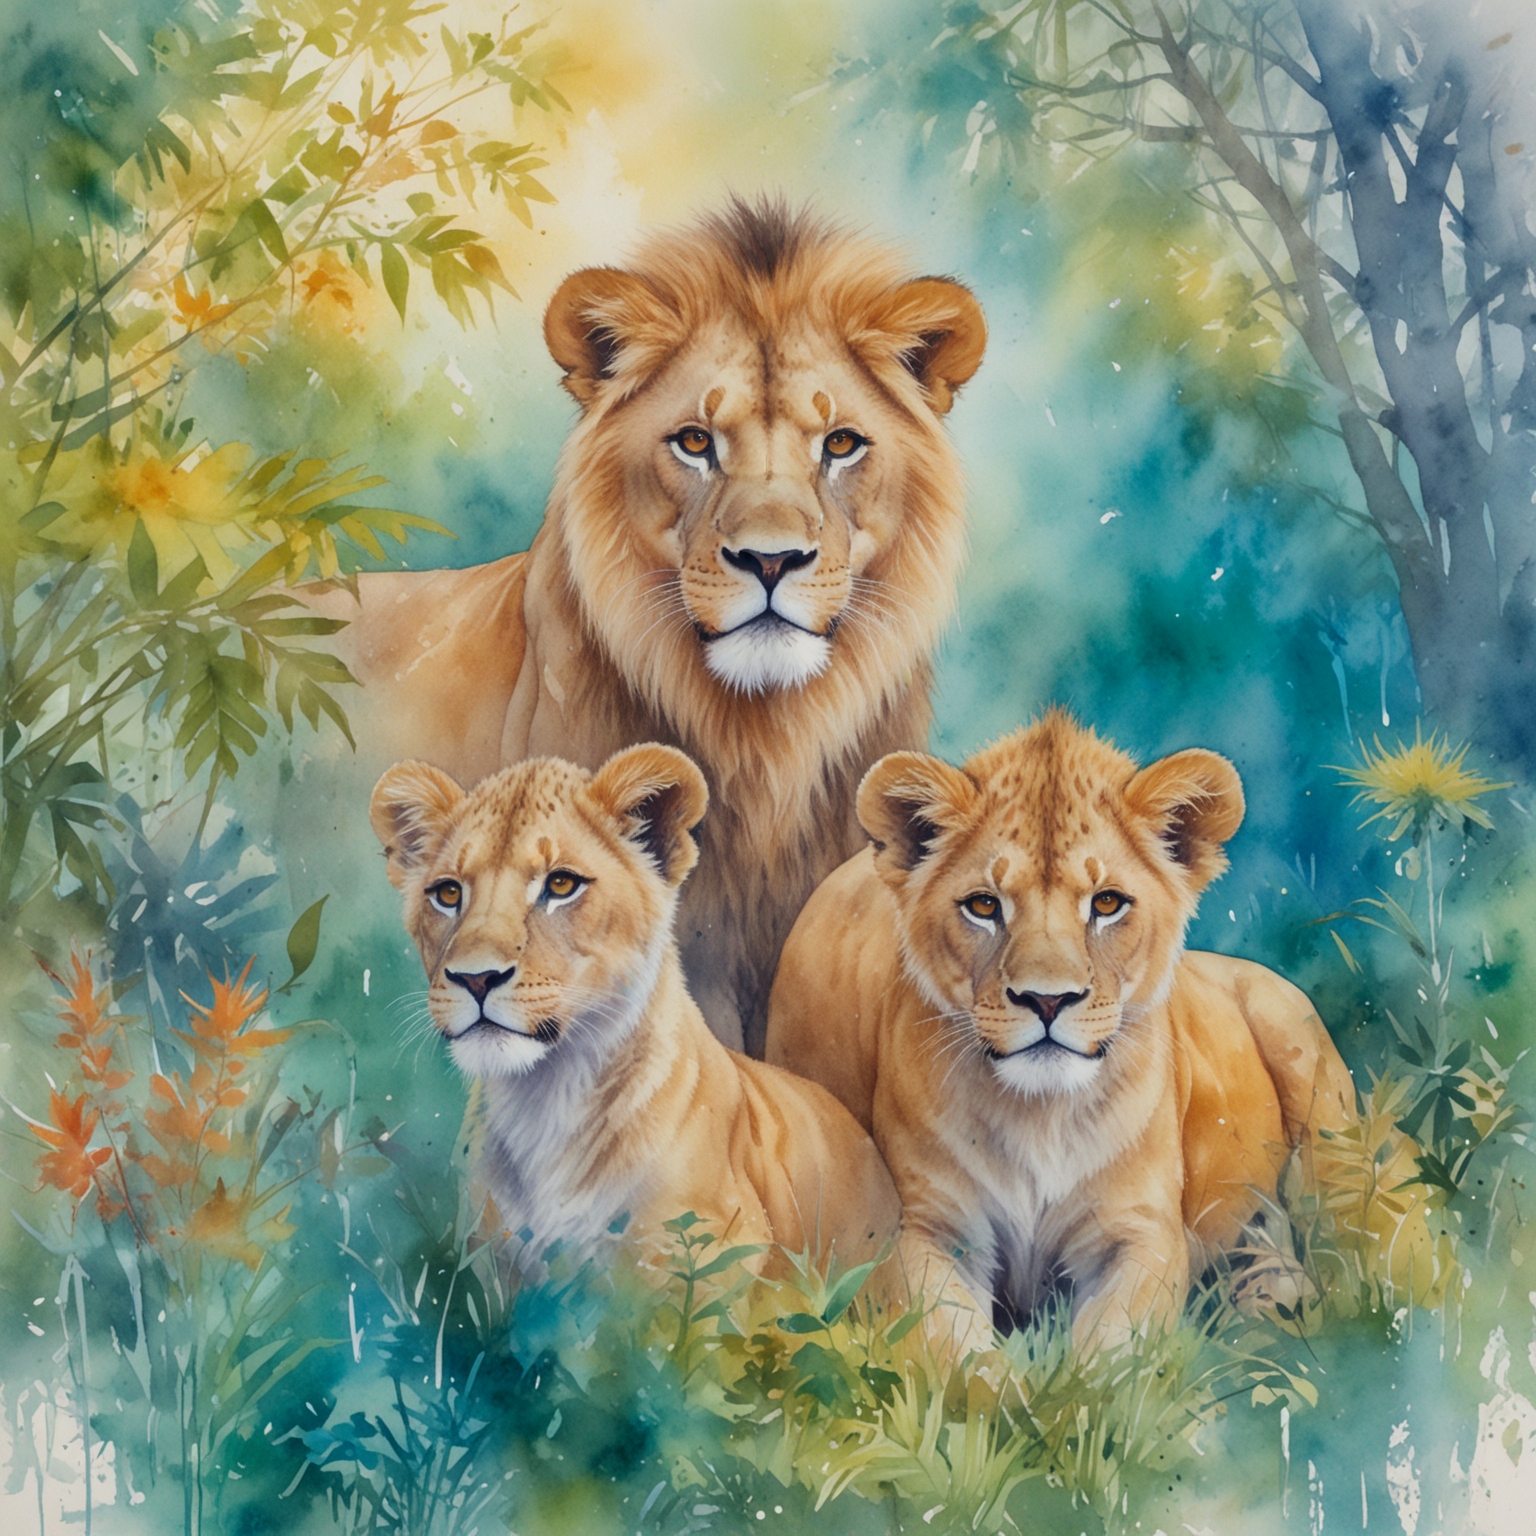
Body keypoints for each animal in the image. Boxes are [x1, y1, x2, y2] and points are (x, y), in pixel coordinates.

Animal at [370, 741, 901, 1281]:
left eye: (561, 885)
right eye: (448, 893)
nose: (476, 978)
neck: (545, 1099)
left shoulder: (719, 1250)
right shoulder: (494, 1266)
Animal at [764, 712, 1358, 1354]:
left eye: (1107, 902)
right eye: (983, 905)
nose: (1047, 999)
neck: (1040, 1115)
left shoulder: (1143, 1233)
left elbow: (1113, 1351)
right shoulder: (924, 1229)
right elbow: (956, 1348)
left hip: (1315, 1091)